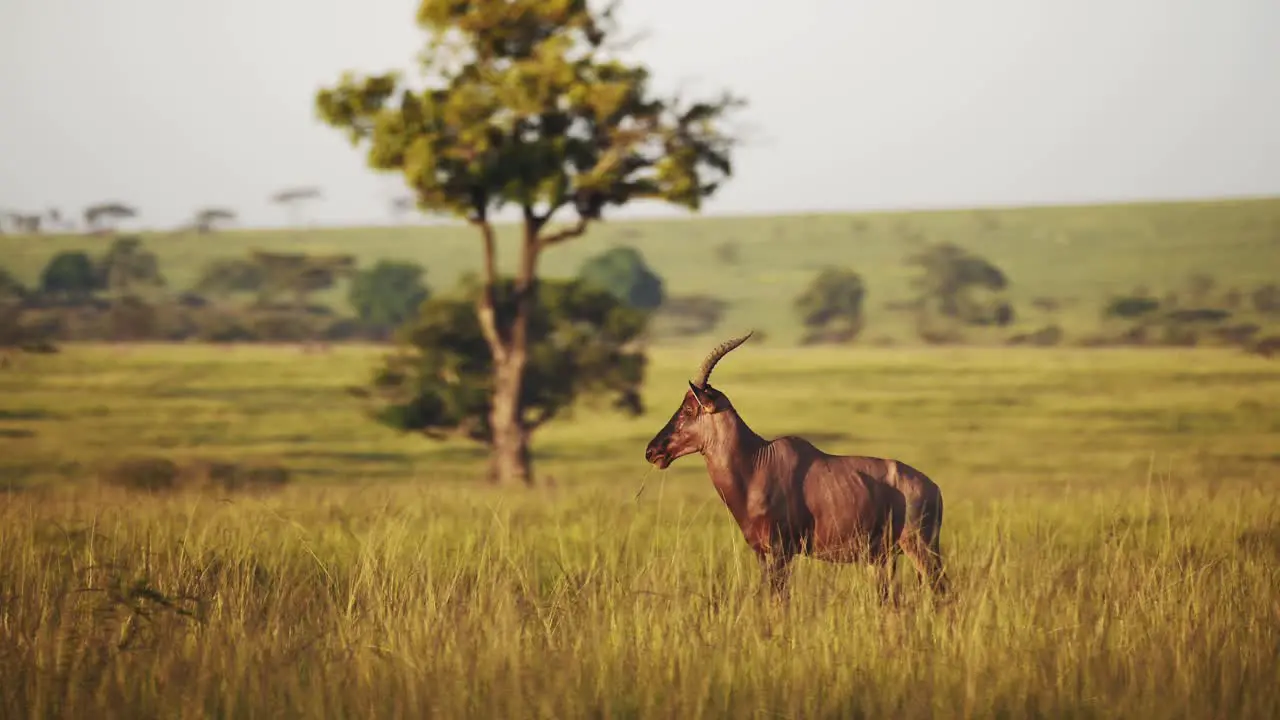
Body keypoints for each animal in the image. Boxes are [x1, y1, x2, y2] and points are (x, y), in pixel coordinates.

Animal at [645, 333, 947, 599]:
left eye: (689, 408)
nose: (653, 451)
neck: (757, 462)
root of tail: (934, 489)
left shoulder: (782, 552)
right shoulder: (762, 553)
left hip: (919, 548)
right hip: (882, 558)